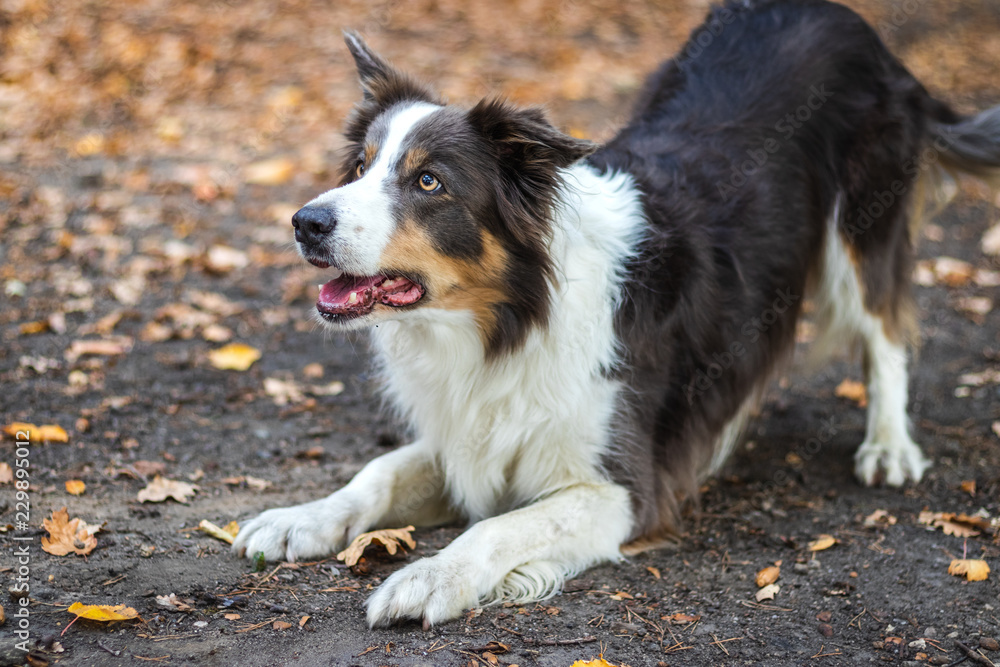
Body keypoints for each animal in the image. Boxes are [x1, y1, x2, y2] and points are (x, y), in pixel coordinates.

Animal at [230, 0, 996, 628]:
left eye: (428, 182)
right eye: (360, 167)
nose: (305, 223)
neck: (508, 321)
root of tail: (845, 17)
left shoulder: (622, 487)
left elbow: (500, 527)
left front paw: (431, 577)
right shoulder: (471, 433)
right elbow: (379, 473)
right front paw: (301, 517)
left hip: (861, 225)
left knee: (885, 328)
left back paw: (890, 444)